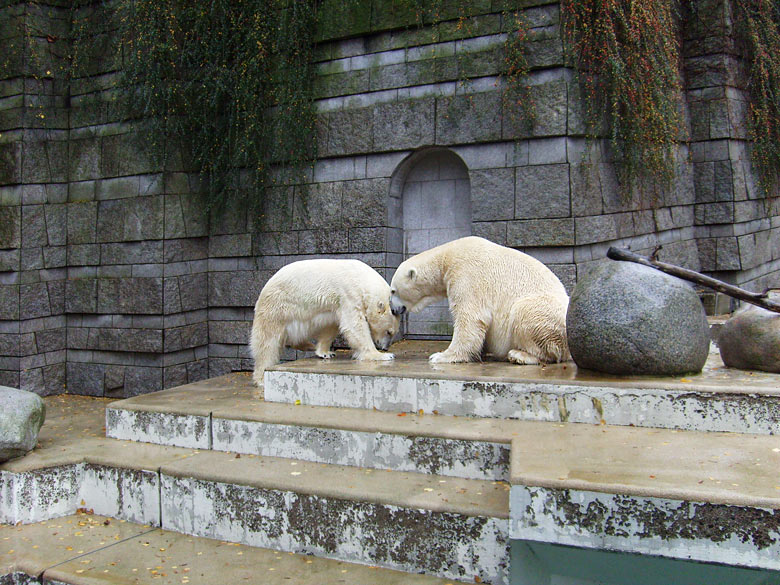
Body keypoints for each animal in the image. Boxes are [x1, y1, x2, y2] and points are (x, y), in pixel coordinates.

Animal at [250, 258, 400, 386]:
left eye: (393, 333)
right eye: (389, 332)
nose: (385, 347)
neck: (360, 278)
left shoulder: (336, 305)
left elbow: (331, 326)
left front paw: (326, 352)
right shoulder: (349, 295)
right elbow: (354, 326)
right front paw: (382, 355)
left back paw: (308, 345)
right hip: (278, 307)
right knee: (267, 343)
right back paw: (261, 378)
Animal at [388, 235, 568, 362]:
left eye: (393, 291)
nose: (393, 309)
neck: (447, 256)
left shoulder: (466, 274)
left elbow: (470, 316)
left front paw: (441, 356)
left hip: (547, 314)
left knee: (525, 313)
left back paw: (520, 355)